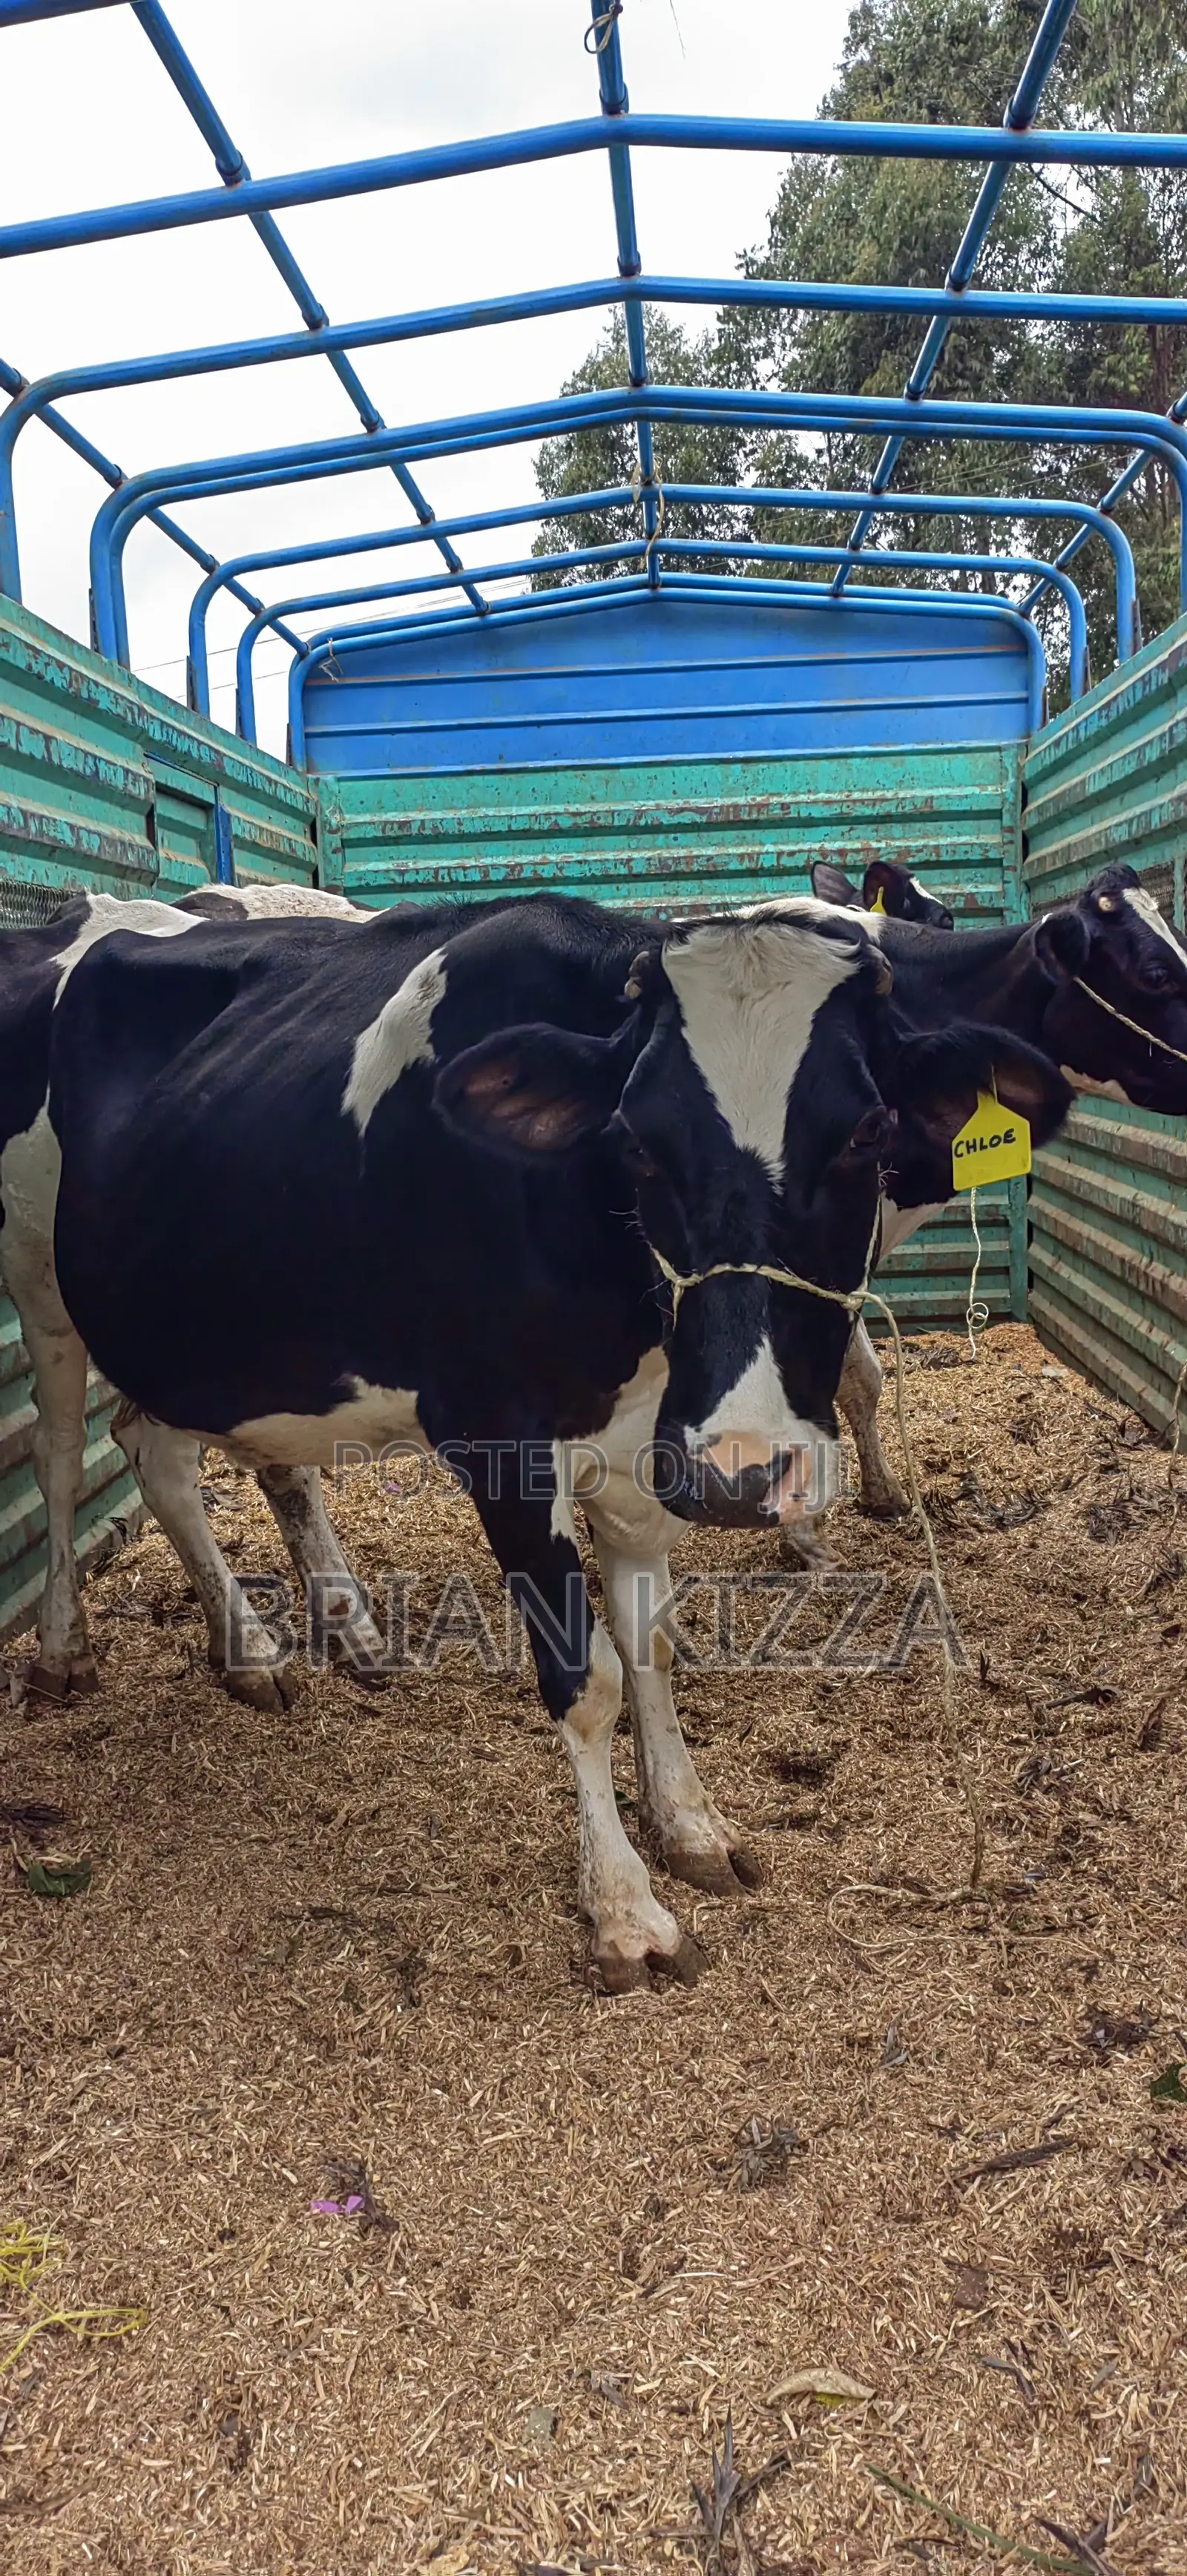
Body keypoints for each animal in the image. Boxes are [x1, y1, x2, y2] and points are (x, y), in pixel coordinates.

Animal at [41, 890, 1071, 1987]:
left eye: (868, 1130)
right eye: (638, 1140)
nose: (747, 1471)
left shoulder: (648, 1448)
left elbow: (648, 1643)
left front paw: (690, 1825)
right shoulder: (499, 1444)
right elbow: (587, 1678)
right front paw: (625, 1910)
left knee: (156, 1452)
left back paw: (262, 1651)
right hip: (45, 1295)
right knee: (63, 1456)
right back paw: (67, 1648)